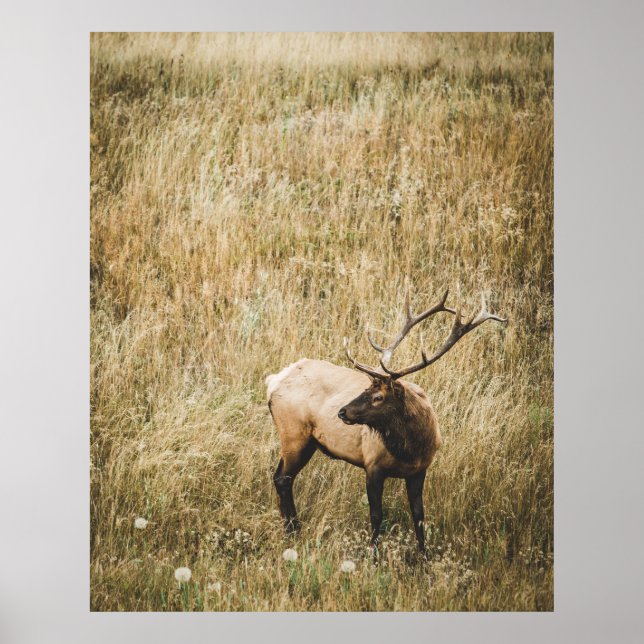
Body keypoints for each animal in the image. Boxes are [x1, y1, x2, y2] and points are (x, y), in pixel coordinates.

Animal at [265, 289, 506, 552]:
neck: (410, 449)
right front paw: (374, 554)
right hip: (294, 434)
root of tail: (273, 381)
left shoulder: (420, 469)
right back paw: (293, 531)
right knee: (282, 478)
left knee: (282, 477)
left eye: (378, 396)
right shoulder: (372, 464)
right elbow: (376, 515)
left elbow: (418, 515)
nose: (342, 412)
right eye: (367, 388)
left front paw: (424, 555)